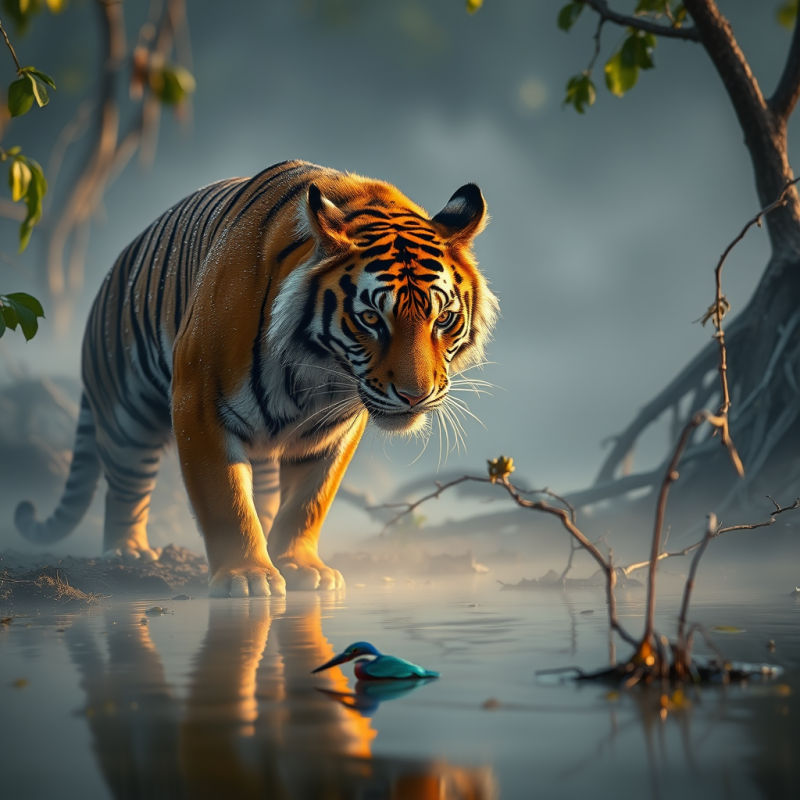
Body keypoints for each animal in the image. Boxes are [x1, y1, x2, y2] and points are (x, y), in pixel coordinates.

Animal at [15, 160, 498, 596]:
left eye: (444, 319)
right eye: (371, 318)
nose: (416, 396)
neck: (319, 372)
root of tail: (113, 272)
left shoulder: (333, 429)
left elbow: (308, 501)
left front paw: (301, 568)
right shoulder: (197, 403)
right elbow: (225, 499)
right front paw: (246, 577)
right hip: (125, 413)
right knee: (125, 488)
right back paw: (128, 552)